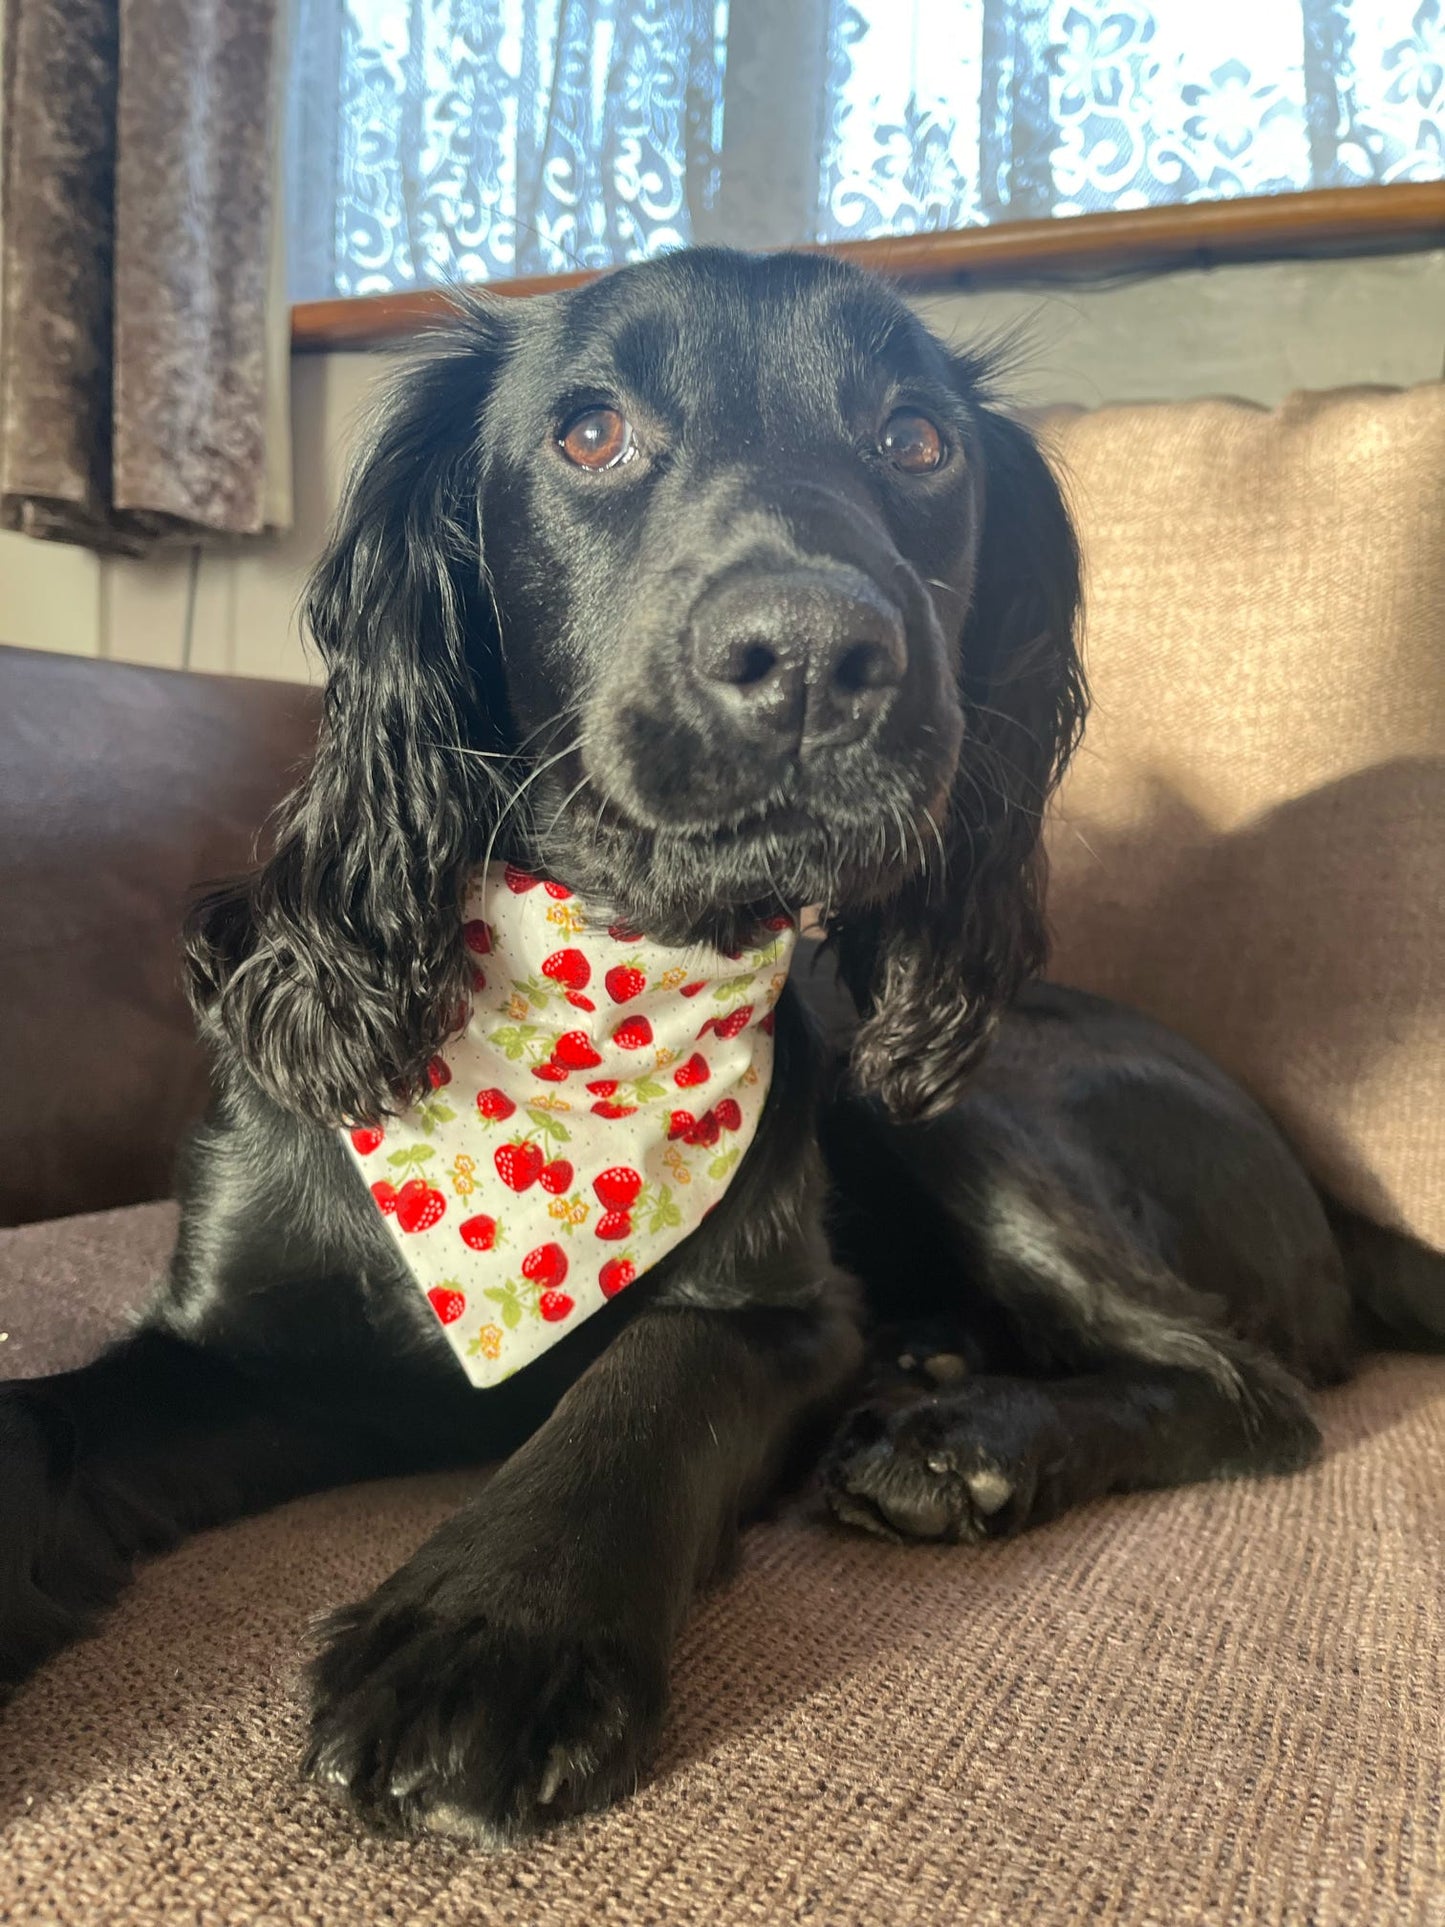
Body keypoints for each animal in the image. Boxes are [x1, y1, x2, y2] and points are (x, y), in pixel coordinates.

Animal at [5, 248, 1441, 1842]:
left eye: (917, 441)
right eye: (589, 433)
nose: (815, 657)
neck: (590, 1015)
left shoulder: (781, 1310)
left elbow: (648, 1385)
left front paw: (487, 1632)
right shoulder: (258, 1352)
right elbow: (33, 1429)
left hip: (956, 1104)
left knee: (1247, 1387)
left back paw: (962, 1443)